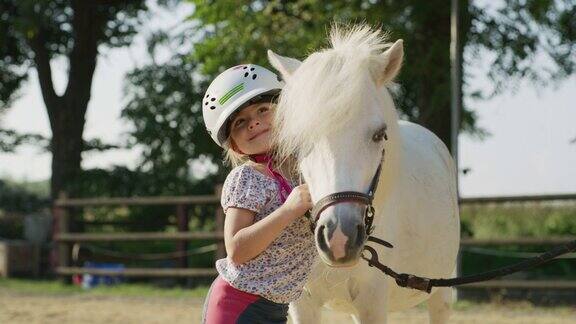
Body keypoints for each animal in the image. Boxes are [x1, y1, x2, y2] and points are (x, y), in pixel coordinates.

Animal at [268, 25, 462, 324]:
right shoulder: (303, 304)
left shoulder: (372, 304)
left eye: (379, 135)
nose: (338, 237)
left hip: (441, 292)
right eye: (299, 140)